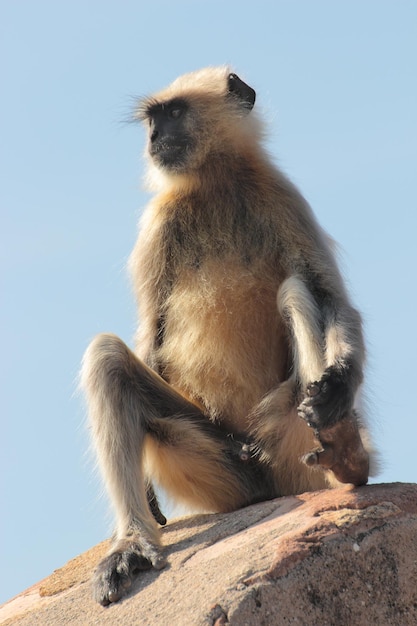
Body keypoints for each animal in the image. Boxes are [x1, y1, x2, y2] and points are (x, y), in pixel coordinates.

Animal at [79, 67, 376, 604]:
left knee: (296, 289)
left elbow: (332, 299)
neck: (214, 182)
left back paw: (345, 451)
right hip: (223, 469)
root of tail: (274, 483)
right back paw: (131, 542)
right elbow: (150, 336)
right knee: (107, 357)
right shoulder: (158, 224)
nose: (153, 138)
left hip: (286, 433)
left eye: (174, 113)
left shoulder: (283, 195)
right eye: (152, 119)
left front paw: (339, 383)